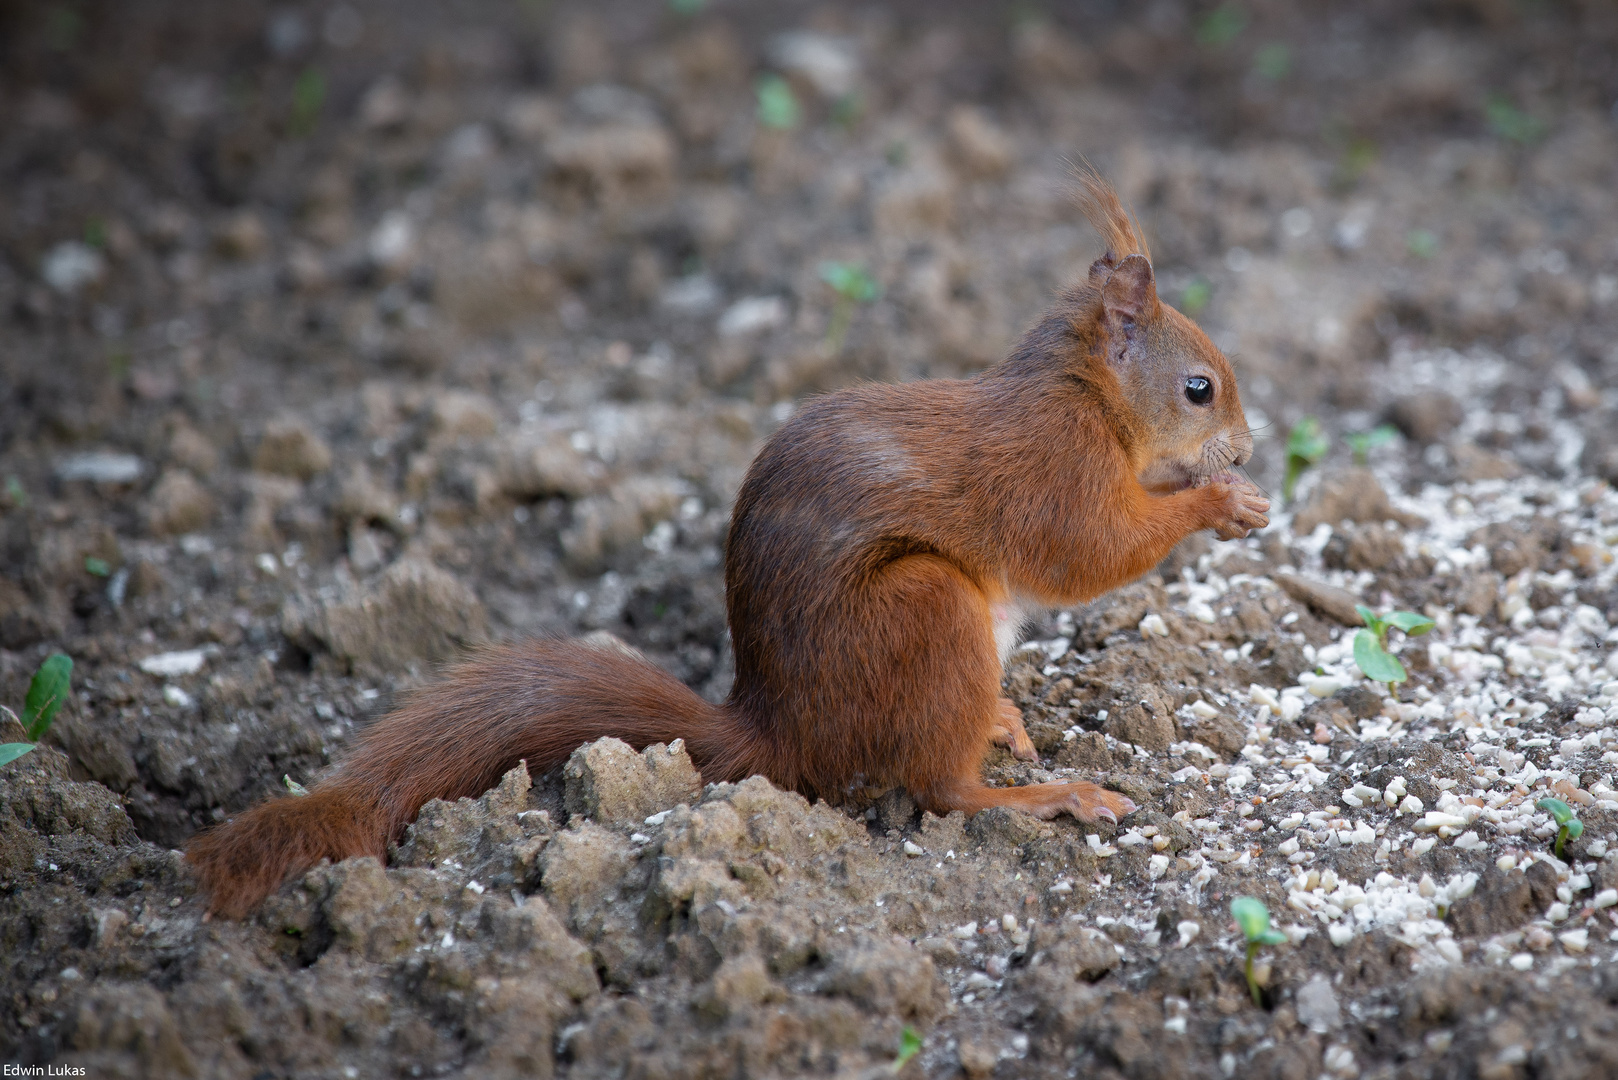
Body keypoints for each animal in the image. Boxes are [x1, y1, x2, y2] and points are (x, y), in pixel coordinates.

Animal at [189, 173, 1268, 919]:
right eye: (1199, 388)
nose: (1250, 445)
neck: (1084, 394)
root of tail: (781, 732)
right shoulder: (1053, 471)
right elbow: (1092, 551)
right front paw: (1218, 500)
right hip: (923, 613)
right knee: (942, 790)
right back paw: (1051, 795)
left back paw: (1004, 720)